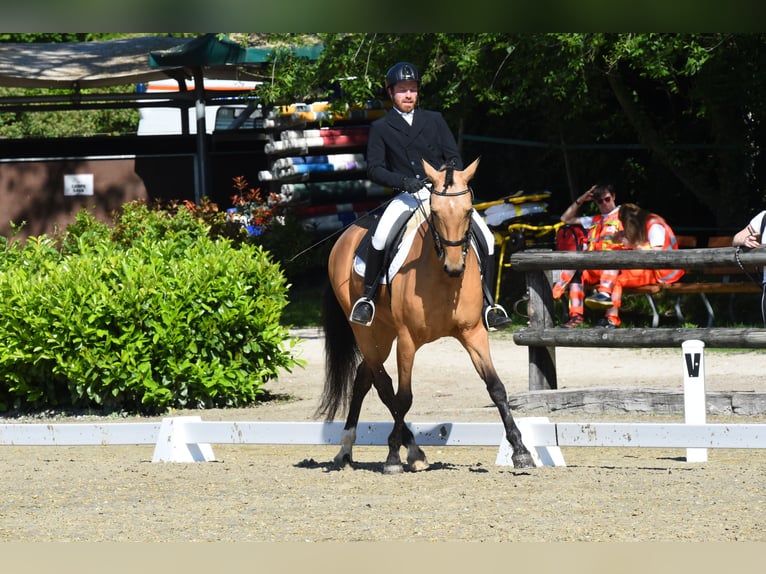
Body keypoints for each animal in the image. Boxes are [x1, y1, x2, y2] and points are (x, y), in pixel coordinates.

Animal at [316, 158, 536, 472]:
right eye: (435, 212)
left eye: (468, 210)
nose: (455, 266)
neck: (445, 280)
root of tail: (345, 236)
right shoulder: (407, 339)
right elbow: (404, 397)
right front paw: (392, 457)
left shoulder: (473, 333)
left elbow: (496, 388)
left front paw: (520, 450)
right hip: (367, 331)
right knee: (384, 386)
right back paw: (403, 450)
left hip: (383, 334)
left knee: (363, 378)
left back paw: (354, 450)